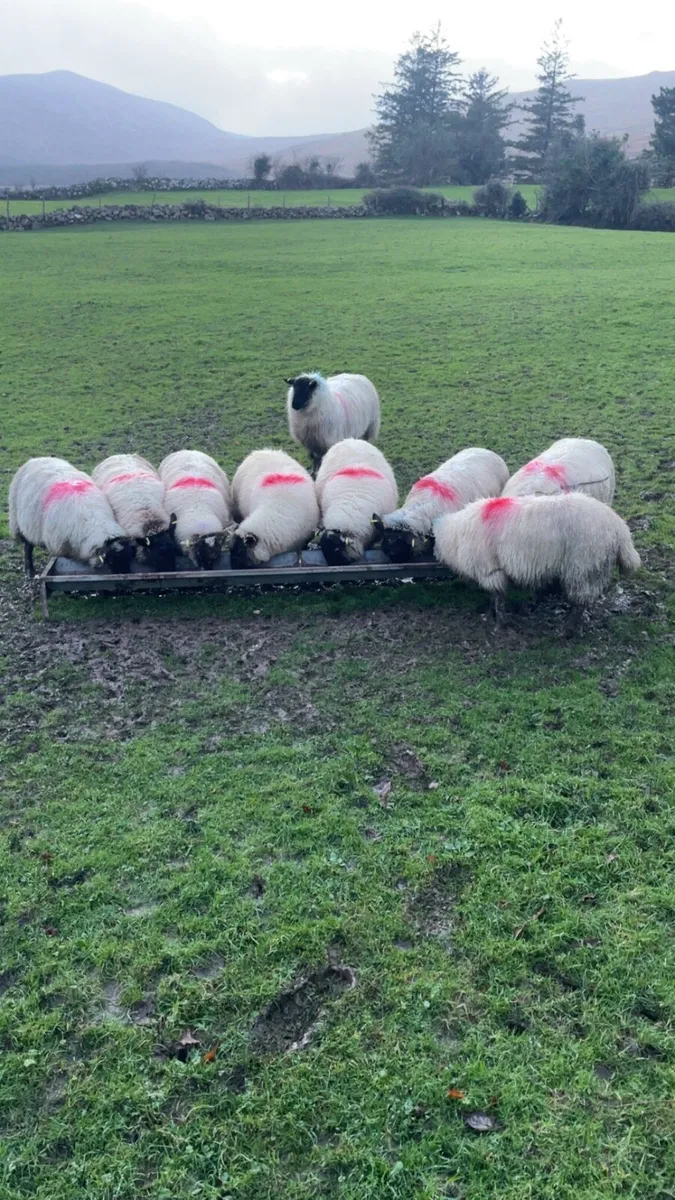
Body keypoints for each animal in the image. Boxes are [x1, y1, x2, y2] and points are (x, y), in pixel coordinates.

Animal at [433, 493, 640, 633]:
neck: (454, 535)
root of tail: (620, 528)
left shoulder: (491, 571)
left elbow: (499, 598)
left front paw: (499, 624)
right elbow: (495, 597)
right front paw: (491, 613)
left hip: (583, 567)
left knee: (581, 600)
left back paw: (568, 630)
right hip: (593, 568)